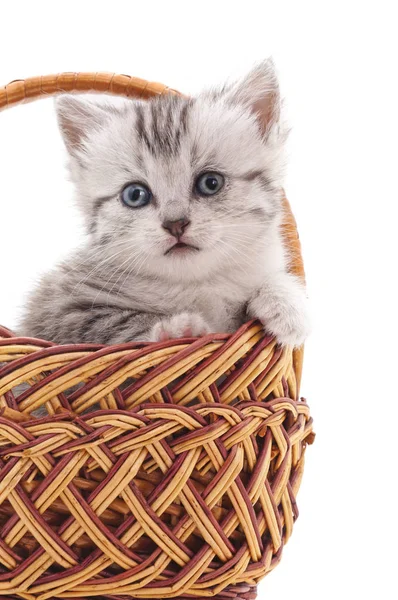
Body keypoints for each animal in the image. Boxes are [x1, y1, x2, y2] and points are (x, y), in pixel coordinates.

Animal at [18, 59, 310, 346]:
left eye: (210, 182)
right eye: (135, 195)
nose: (175, 223)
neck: (194, 284)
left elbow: (270, 282)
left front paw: (286, 304)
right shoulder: (58, 310)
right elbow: (112, 323)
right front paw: (177, 328)